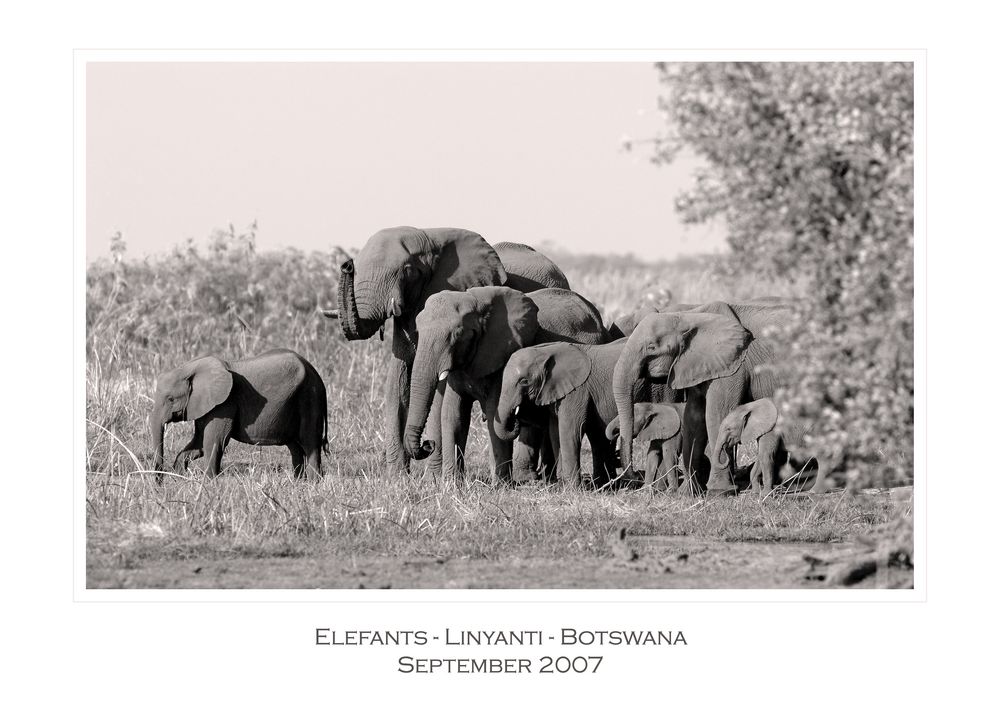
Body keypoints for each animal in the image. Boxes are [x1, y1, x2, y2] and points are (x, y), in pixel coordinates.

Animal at [148, 350, 328, 480]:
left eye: (171, 399)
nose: (160, 484)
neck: (189, 368)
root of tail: (316, 374)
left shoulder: (225, 403)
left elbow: (213, 441)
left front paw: (209, 484)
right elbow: (198, 443)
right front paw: (179, 477)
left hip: (310, 396)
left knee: (310, 442)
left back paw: (313, 484)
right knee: (295, 446)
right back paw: (299, 483)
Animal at [324, 229, 568, 472]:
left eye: (408, 270)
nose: (346, 265)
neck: (429, 237)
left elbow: (439, 391)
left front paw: (431, 477)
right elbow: (398, 380)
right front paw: (396, 476)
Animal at [402, 288, 604, 480]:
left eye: (457, 334)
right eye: (417, 332)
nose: (428, 444)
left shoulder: (503, 356)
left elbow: (493, 412)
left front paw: (500, 485)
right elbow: (454, 415)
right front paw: (452, 484)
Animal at [608, 296, 796, 494]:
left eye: (651, 347)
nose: (635, 477)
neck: (689, 316)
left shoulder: (731, 365)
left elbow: (716, 414)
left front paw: (719, 492)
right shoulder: (697, 364)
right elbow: (694, 417)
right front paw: (687, 493)